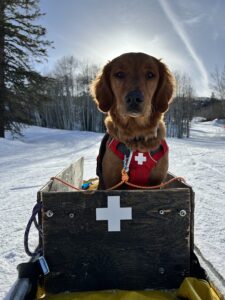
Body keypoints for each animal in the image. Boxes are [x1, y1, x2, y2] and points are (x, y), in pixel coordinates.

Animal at [90, 52, 175, 189]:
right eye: (119, 74)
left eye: (150, 75)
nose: (134, 98)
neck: (137, 136)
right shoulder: (111, 183)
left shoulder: (156, 184)